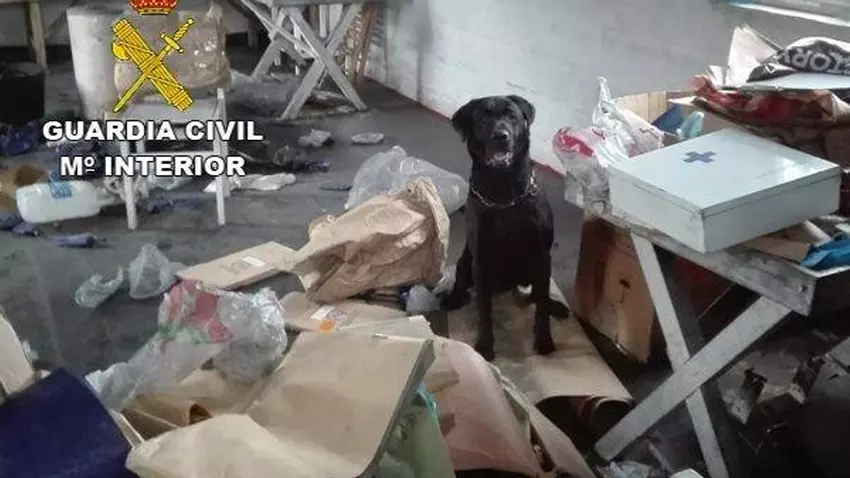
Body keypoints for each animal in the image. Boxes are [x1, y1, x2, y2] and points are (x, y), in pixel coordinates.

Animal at [442, 95, 567, 361]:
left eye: (511, 116)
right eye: (482, 119)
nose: (501, 135)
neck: (505, 194)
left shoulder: (543, 257)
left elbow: (541, 306)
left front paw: (544, 340)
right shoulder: (481, 261)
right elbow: (484, 313)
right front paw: (485, 346)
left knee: (537, 295)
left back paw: (556, 306)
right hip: (465, 261)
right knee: (463, 283)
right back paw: (454, 298)